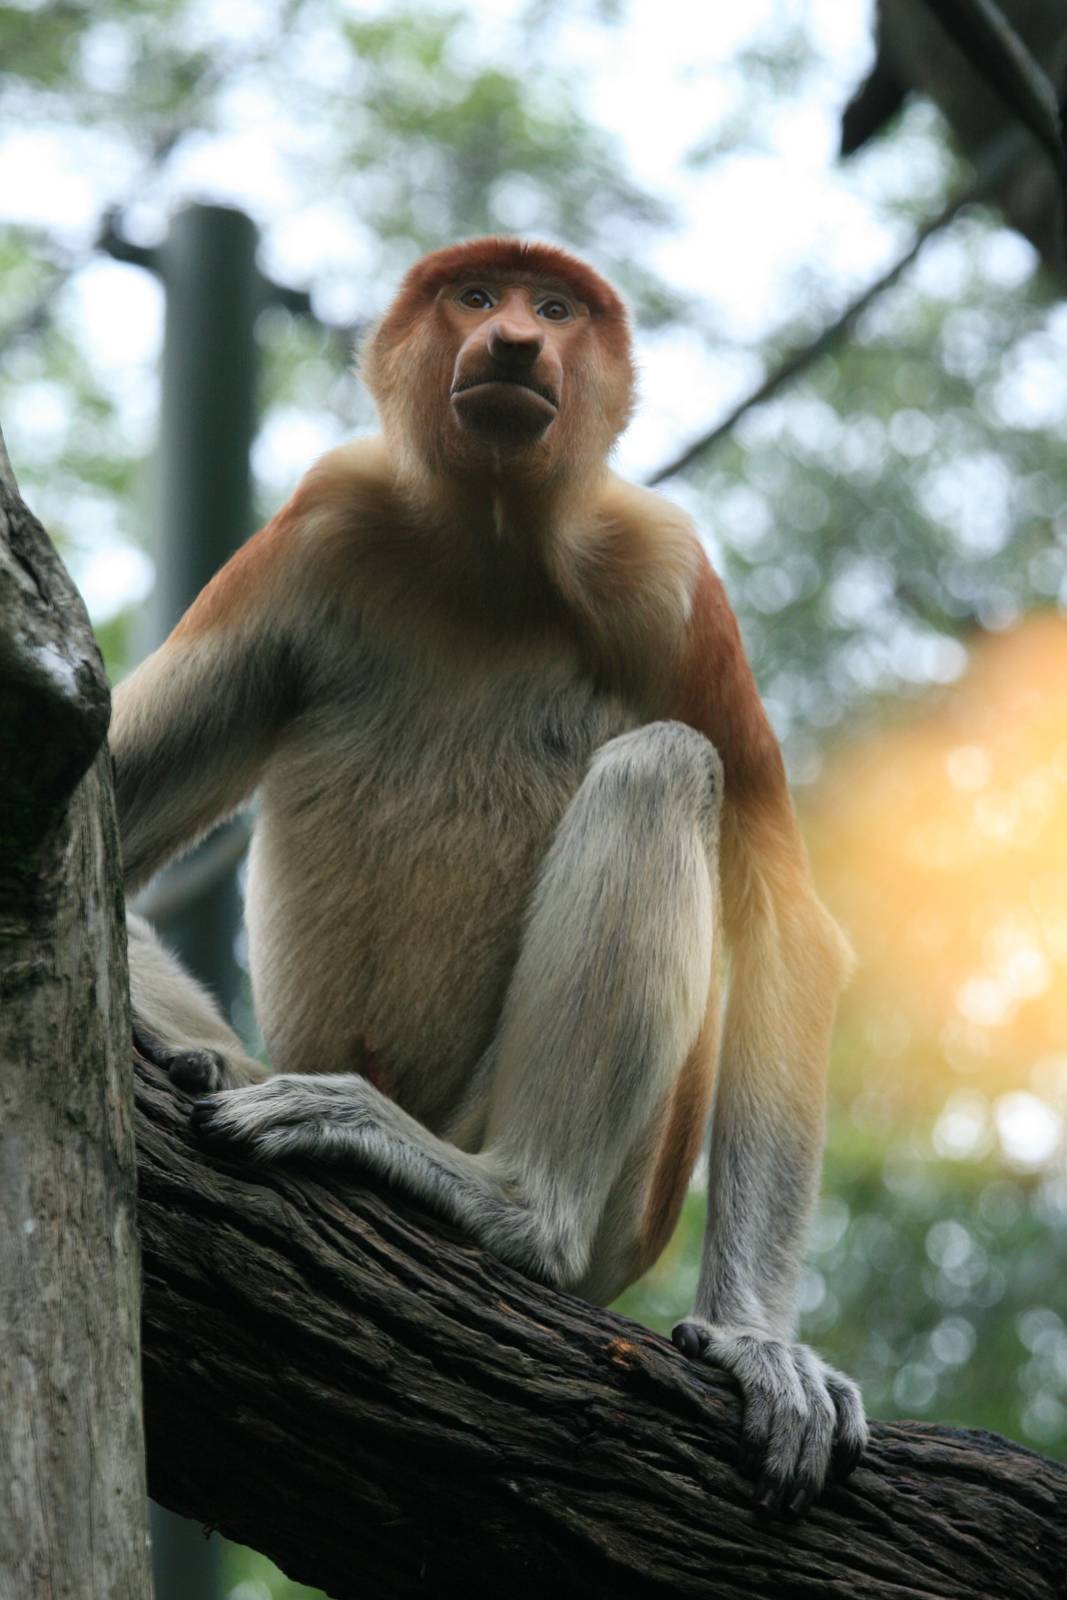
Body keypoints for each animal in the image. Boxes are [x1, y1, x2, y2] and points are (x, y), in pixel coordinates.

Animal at [113, 237, 867, 1519]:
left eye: (553, 308)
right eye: (475, 296)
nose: (513, 342)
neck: (494, 541)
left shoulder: (666, 573)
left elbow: (784, 918)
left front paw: (761, 1348)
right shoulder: (318, 520)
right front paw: (185, 1048)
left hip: (621, 1201)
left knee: (664, 764)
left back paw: (511, 1204)